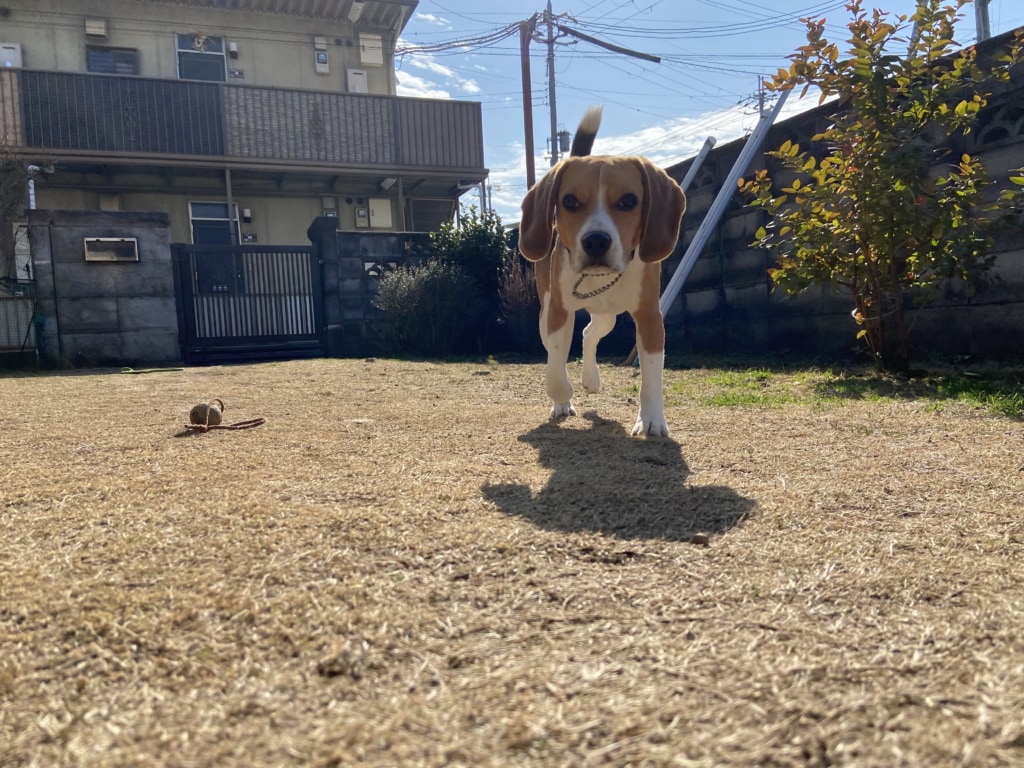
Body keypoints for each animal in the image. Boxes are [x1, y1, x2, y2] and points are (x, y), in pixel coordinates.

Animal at [520, 105, 688, 436]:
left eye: (628, 201)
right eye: (570, 201)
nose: (596, 241)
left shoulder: (650, 317)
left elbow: (652, 376)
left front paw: (651, 419)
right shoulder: (559, 312)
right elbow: (555, 368)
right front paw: (563, 395)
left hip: (607, 316)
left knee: (588, 333)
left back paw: (590, 378)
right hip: (547, 314)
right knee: (560, 349)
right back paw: (565, 399)